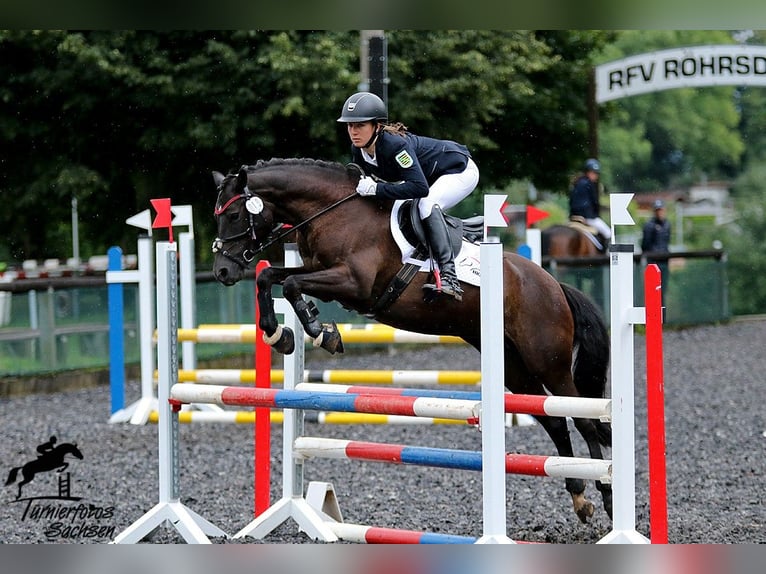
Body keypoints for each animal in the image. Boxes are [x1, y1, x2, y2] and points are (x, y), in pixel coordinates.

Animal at [213, 159, 616, 528]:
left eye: (233, 214)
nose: (222, 271)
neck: (333, 212)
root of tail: (551, 282)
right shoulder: (317, 272)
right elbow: (270, 276)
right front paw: (281, 335)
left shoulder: (352, 283)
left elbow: (292, 285)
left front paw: (320, 330)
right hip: (513, 365)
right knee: (555, 420)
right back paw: (579, 497)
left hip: (548, 360)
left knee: (584, 419)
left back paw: (607, 496)